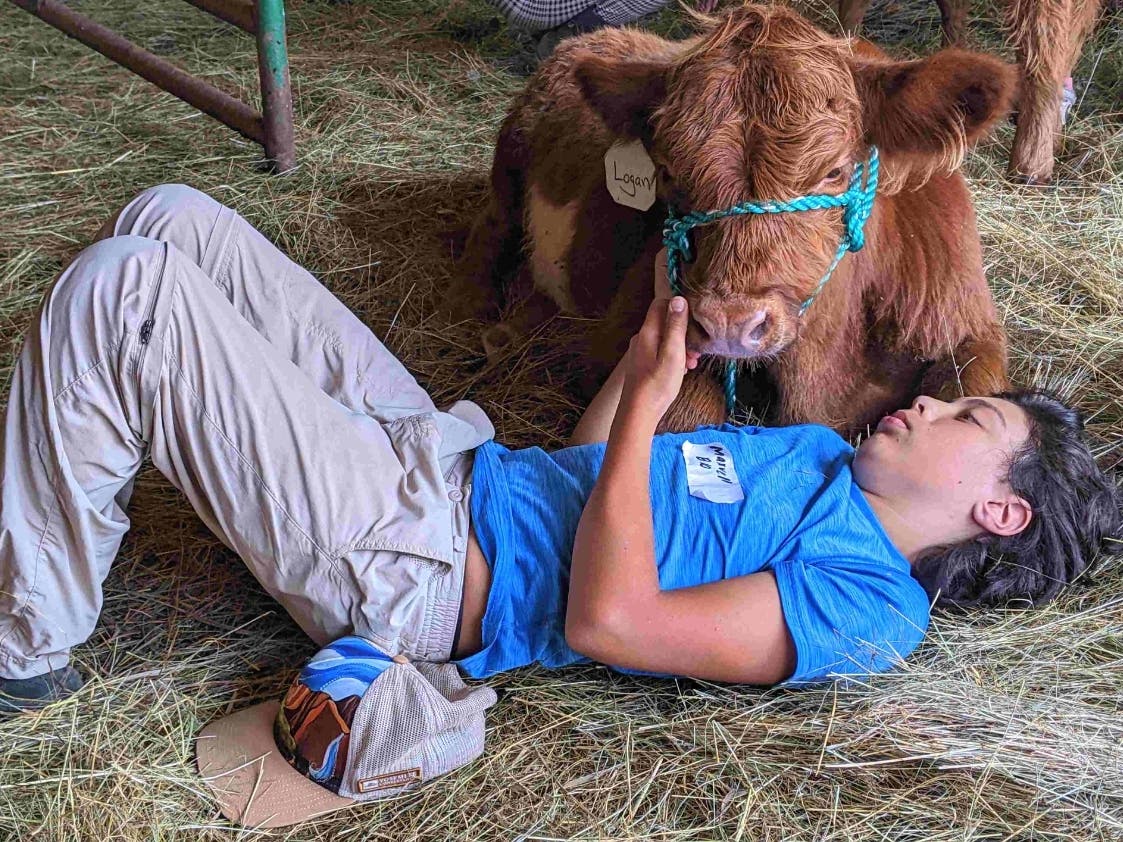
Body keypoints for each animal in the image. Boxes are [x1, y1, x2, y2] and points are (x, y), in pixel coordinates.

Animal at [450, 3, 1018, 434]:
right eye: (667, 171)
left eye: (835, 171)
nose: (729, 324)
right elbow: (683, 405)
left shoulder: (971, 327)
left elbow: (976, 391)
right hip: (510, 158)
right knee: (489, 229)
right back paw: (477, 315)